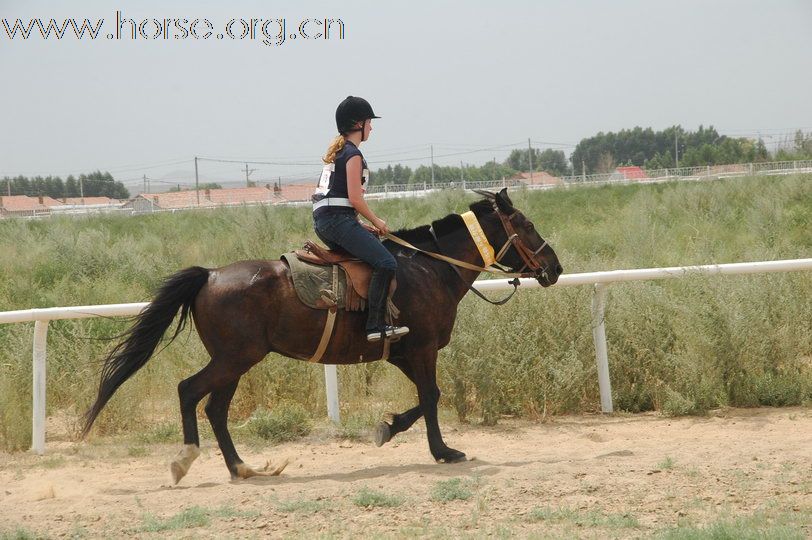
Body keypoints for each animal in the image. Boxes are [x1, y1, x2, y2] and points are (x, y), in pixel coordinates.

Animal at [82, 188, 564, 484]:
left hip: (235, 362)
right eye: (526, 224)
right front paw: (442, 451)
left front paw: (388, 427)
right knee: (189, 392)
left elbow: (426, 397)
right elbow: (431, 397)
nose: (555, 267)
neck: (428, 267)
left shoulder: (403, 352)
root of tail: (211, 274)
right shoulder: (422, 348)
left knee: (215, 408)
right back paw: (186, 460)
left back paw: (242, 467)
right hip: (235, 358)